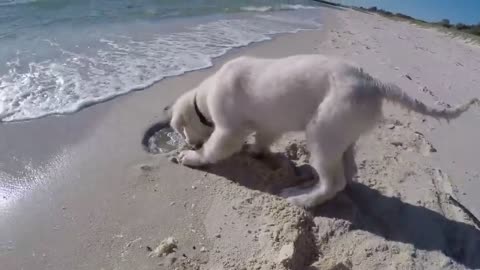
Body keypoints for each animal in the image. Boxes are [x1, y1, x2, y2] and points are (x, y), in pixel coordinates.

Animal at [168, 53, 476, 208]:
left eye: (183, 131)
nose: (189, 144)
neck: (205, 96)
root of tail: (374, 83)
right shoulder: (267, 126)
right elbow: (263, 138)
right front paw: (256, 151)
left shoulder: (228, 130)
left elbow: (215, 148)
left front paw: (192, 157)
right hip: (342, 134)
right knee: (347, 172)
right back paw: (308, 183)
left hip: (323, 132)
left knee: (334, 182)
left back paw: (302, 198)